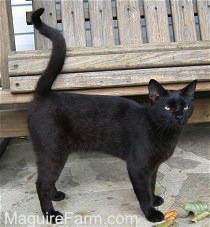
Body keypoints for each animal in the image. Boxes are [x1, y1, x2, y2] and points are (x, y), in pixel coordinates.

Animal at [27, 8, 197, 223]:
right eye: (167, 108)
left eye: (185, 106)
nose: (178, 116)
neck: (163, 133)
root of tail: (45, 94)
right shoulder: (137, 166)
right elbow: (143, 192)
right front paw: (151, 212)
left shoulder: (153, 167)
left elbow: (152, 184)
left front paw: (155, 198)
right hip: (52, 151)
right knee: (41, 184)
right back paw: (50, 214)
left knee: (48, 180)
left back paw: (55, 195)